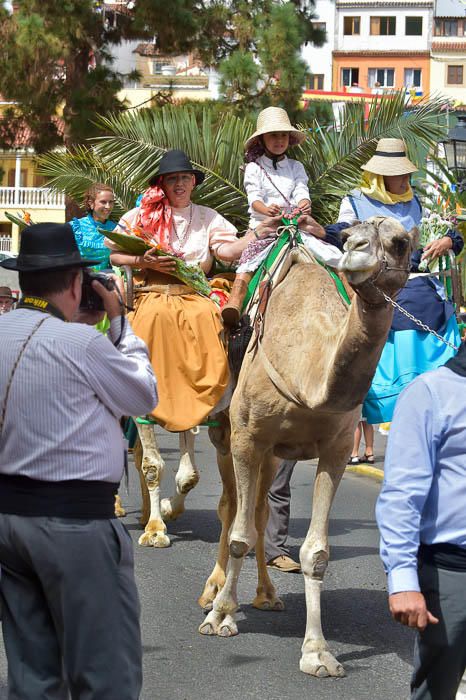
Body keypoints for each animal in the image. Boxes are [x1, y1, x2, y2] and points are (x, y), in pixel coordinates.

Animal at [197, 217, 416, 680]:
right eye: (348, 236)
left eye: (401, 243)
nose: (357, 253)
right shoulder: (247, 436)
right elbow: (240, 533)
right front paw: (221, 616)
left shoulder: (336, 448)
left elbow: (315, 552)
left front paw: (317, 653)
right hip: (226, 436)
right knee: (230, 507)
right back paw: (212, 592)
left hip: (273, 453)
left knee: (259, 510)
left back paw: (267, 595)